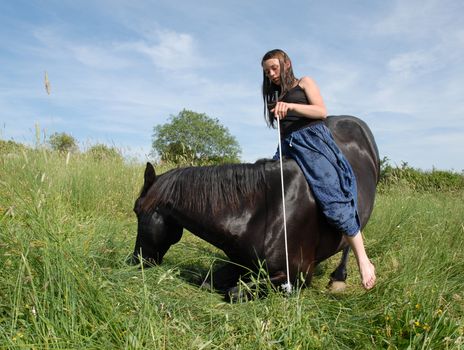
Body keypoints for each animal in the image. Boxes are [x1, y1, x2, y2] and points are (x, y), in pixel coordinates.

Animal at [131, 115, 380, 298]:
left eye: (137, 211)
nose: (134, 260)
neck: (262, 213)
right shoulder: (240, 264)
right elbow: (207, 282)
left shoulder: (295, 277)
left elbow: (234, 292)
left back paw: (339, 278)